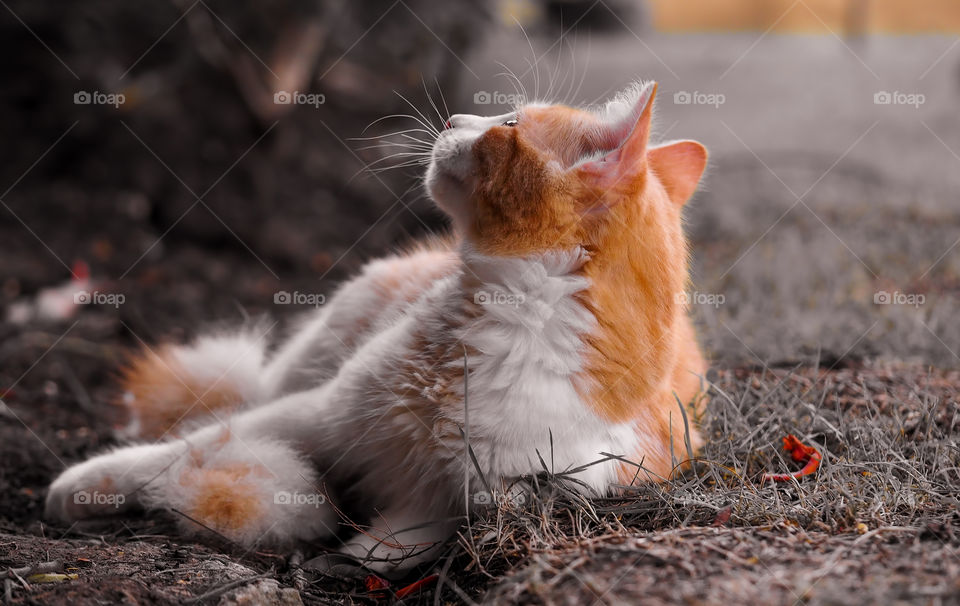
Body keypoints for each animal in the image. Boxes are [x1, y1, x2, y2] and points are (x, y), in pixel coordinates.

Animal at [47, 81, 704, 576]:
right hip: (315, 355)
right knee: (236, 399)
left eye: (510, 122)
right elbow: (171, 454)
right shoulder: (318, 415)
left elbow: (399, 544)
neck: (513, 322)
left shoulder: (475, 497)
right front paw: (86, 484)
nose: (453, 118)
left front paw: (350, 557)